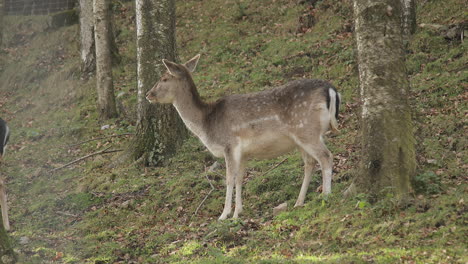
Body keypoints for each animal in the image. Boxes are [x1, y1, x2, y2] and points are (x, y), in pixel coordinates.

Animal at [146, 54, 340, 220]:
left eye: (164, 78)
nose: (148, 94)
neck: (207, 124)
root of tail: (330, 89)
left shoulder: (229, 145)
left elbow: (229, 179)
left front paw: (224, 214)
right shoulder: (244, 153)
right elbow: (240, 178)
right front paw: (238, 212)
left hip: (307, 130)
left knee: (326, 156)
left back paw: (326, 195)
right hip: (302, 138)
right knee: (310, 162)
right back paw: (299, 202)